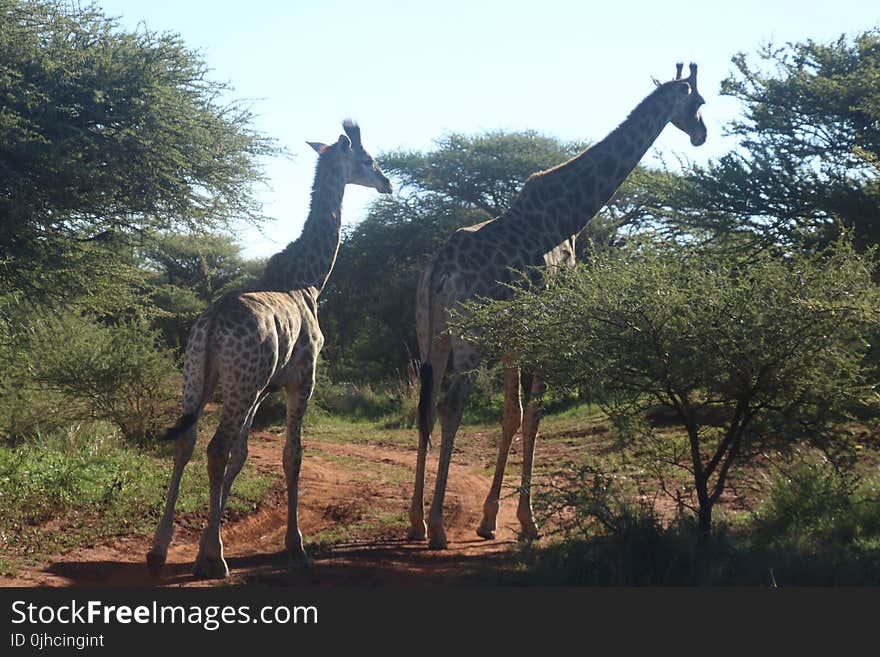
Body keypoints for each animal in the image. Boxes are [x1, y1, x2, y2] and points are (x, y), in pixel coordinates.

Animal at [148, 120, 392, 576]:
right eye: (369, 160)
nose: (388, 183)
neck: (309, 280)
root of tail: (211, 325)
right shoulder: (302, 379)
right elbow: (292, 455)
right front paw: (294, 545)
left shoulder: (264, 388)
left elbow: (243, 456)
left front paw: (205, 544)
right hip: (239, 383)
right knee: (215, 447)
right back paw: (217, 563)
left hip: (199, 378)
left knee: (186, 443)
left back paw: (159, 548)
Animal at [412, 65, 708, 548]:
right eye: (699, 102)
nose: (702, 134)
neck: (567, 215)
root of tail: (438, 268)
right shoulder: (548, 321)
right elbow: (533, 416)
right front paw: (528, 520)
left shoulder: (513, 330)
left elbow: (511, 415)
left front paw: (489, 519)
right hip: (470, 335)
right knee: (450, 407)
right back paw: (437, 525)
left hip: (430, 332)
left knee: (425, 409)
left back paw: (416, 520)